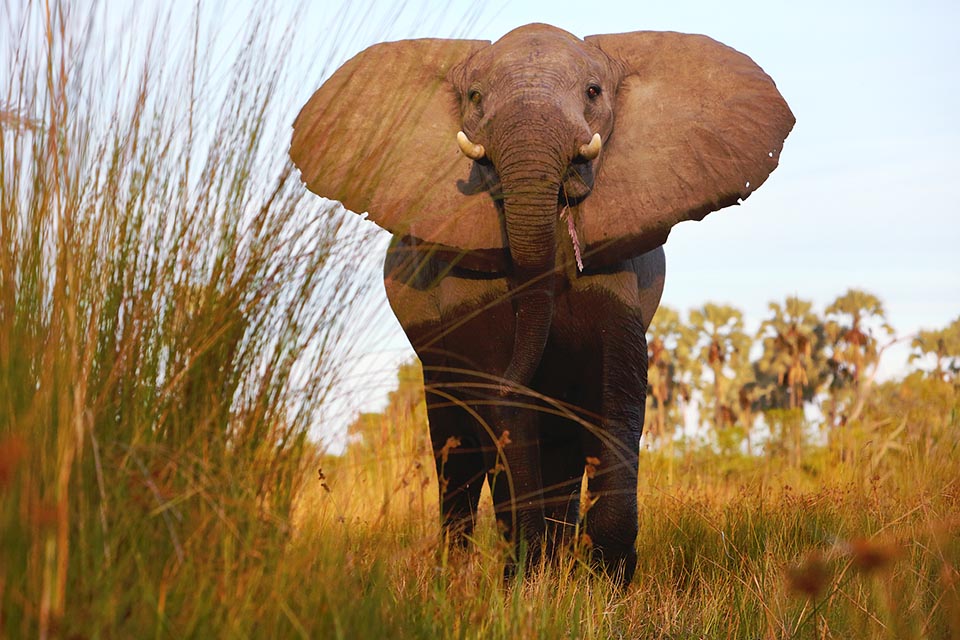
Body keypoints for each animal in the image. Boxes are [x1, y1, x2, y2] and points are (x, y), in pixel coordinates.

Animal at [290, 23, 796, 584]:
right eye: (475, 97)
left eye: (594, 92)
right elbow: (504, 409)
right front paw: (527, 582)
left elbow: (619, 392)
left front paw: (606, 583)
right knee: (457, 451)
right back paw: (459, 572)